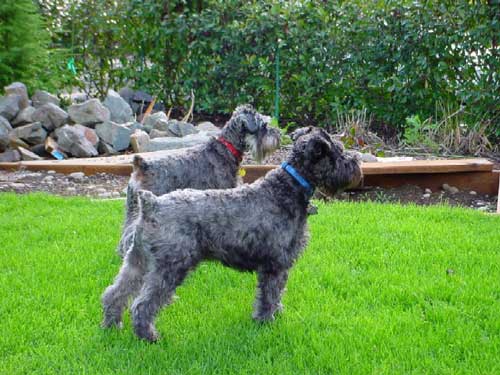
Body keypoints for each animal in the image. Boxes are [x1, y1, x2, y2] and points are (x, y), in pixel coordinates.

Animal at [102, 126, 360, 340]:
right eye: (338, 152)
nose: (356, 162)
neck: (288, 187)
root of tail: (151, 203)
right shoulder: (275, 265)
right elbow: (269, 295)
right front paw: (266, 322)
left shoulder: (278, 266)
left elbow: (276, 294)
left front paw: (276, 315)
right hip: (170, 267)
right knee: (142, 303)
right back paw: (148, 335)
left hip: (137, 261)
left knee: (116, 292)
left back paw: (111, 324)